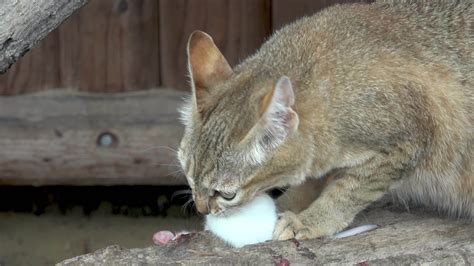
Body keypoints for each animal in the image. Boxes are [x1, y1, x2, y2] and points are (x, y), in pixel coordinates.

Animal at [176, 0, 472, 241]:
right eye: (188, 177)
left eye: (227, 194)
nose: (201, 208)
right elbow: (312, 181)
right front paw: (286, 205)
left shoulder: (409, 142)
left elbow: (349, 190)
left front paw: (312, 220)